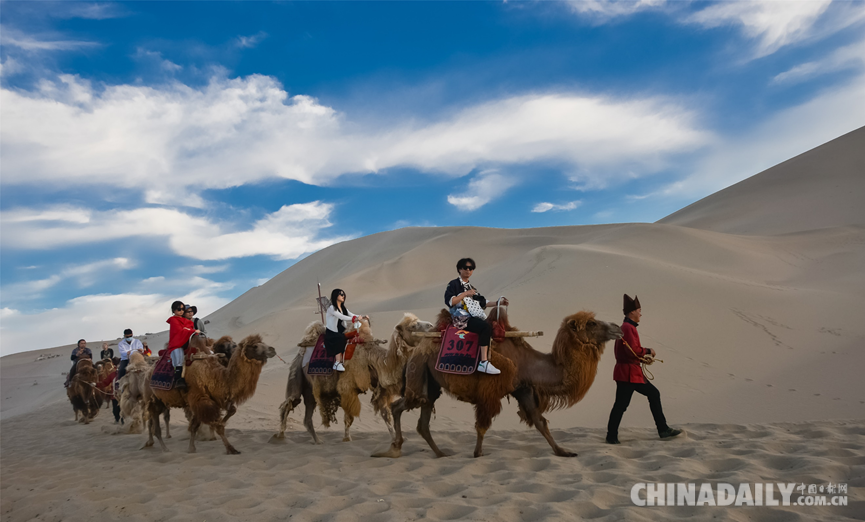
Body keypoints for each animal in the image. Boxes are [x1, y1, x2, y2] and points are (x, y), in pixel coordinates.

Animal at [143, 334, 275, 454]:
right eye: (255, 346)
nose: (272, 349)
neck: (213, 375)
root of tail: (148, 372)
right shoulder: (200, 400)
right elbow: (218, 426)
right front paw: (231, 449)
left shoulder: (205, 400)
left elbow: (195, 425)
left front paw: (191, 448)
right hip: (153, 400)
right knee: (155, 426)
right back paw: (164, 448)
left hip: (162, 402)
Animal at [274, 315, 435, 444]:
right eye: (412, 326)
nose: (431, 326)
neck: (373, 360)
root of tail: (300, 353)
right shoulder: (348, 388)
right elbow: (349, 417)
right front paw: (347, 438)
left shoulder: (380, 388)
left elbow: (385, 413)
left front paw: (395, 438)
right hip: (298, 377)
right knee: (289, 403)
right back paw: (280, 437)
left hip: (309, 389)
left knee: (306, 415)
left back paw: (317, 441)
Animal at [373, 307, 622, 459]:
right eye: (591, 323)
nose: (618, 327)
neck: (527, 361)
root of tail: (414, 352)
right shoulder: (490, 392)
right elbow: (482, 425)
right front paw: (478, 454)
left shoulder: (523, 389)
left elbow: (540, 422)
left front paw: (562, 451)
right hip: (419, 373)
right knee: (398, 406)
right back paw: (395, 448)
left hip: (430, 383)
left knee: (422, 421)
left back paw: (440, 453)